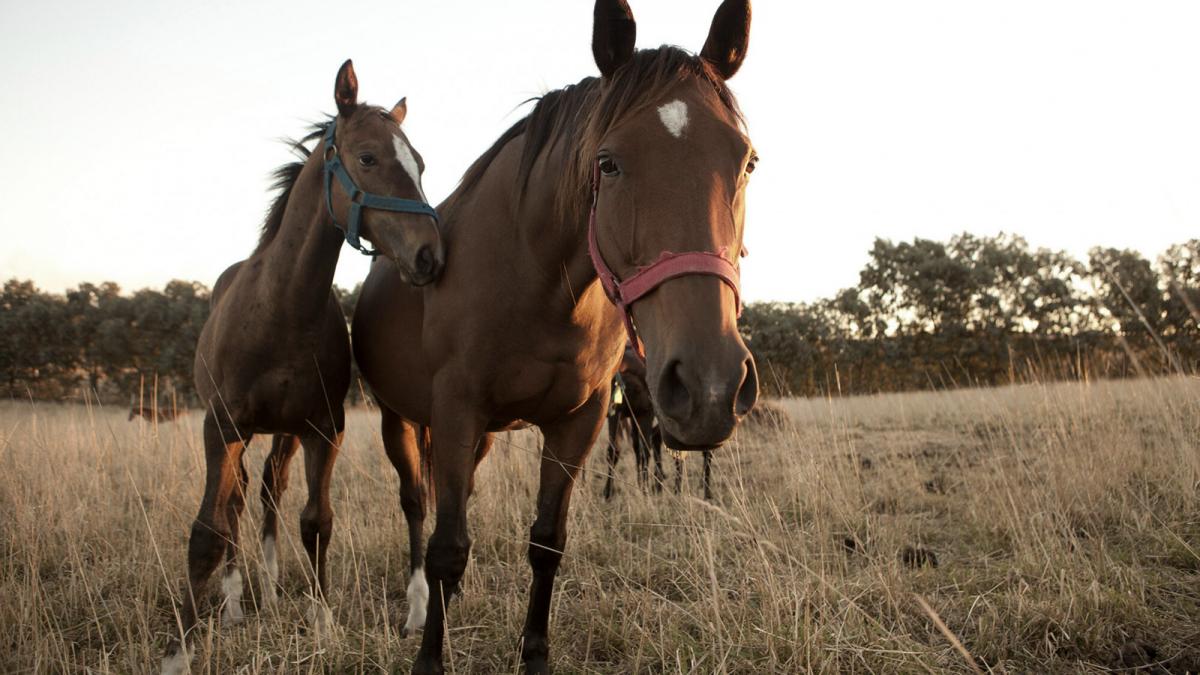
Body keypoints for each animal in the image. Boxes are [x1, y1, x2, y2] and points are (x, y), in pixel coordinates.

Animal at [159, 59, 441, 672]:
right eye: (367, 157)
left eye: (420, 162)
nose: (431, 255)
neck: (281, 307)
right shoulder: (220, 428)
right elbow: (208, 530)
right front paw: (178, 650)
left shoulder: (321, 429)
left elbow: (316, 520)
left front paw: (322, 619)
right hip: (242, 434)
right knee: (239, 501)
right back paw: (236, 603)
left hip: (282, 434)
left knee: (270, 491)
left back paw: (267, 587)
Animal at [350, 2, 758, 667]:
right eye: (607, 162)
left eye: (747, 161)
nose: (710, 386)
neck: (534, 281)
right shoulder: (456, 411)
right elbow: (446, 546)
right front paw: (431, 656)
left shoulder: (579, 421)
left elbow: (546, 542)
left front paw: (534, 654)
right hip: (401, 420)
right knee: (417, 507)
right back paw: (420, 606)